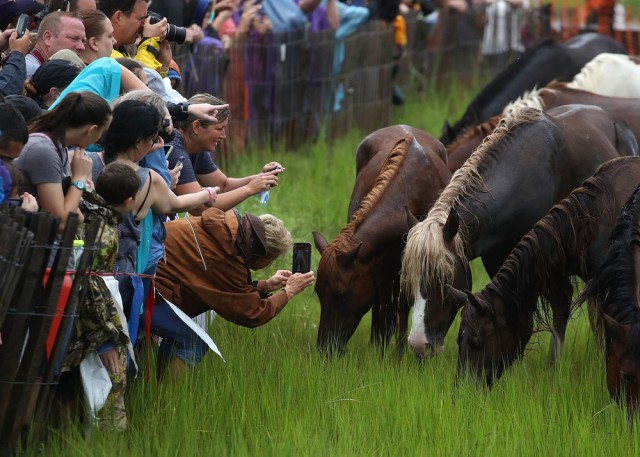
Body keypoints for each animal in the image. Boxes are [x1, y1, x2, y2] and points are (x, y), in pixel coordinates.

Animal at [312, 125, 452, 356]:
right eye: (318, 292)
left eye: (340, 294)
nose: (325, 349)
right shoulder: (377, 266)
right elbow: (385, 306)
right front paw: (381, 349)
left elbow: (403, 305)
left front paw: (398, 352)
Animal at [402, 105, 636, 358]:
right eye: (409, 279)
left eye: (443, 278)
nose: (418, 343)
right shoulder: (499, 260)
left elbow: (560, 304)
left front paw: (554, 363)